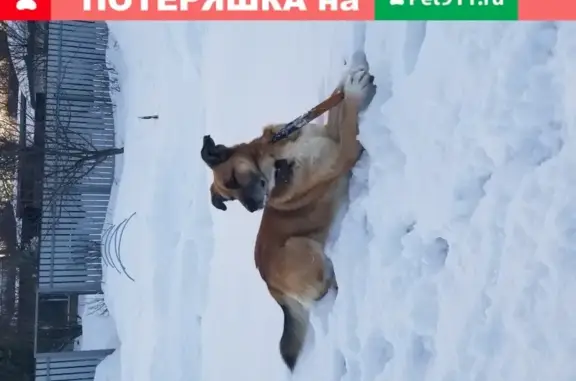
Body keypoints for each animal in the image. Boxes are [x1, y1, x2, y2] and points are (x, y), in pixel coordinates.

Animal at [200, 52, 376, 370]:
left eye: (232, 181)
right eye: (230, 195)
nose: (253, 207)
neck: (278, 160)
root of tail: (274, 290)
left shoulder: (325, 135)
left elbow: (334, 106)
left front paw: (346, 78)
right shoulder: (343, 151)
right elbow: (348, 116)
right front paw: (355, 90)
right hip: (302, 248)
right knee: (324, 289)